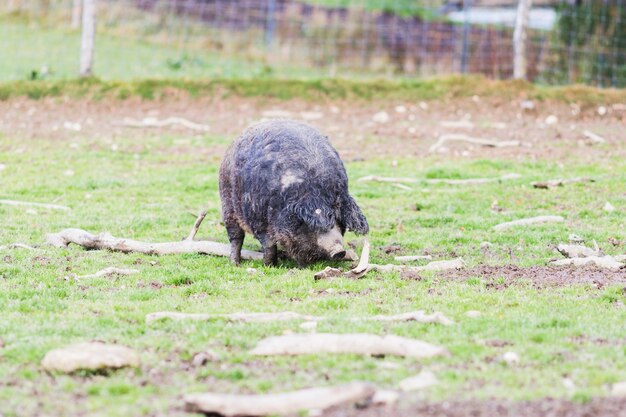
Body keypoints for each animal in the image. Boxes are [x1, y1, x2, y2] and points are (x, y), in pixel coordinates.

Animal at [218, 118, 368, 264]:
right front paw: (270, 265)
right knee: (236, 237)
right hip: (228, 205)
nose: (339, 251)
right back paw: (235, 263)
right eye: (310, 225)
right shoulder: (258, 217)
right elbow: (269, 244)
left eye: (336, 215)